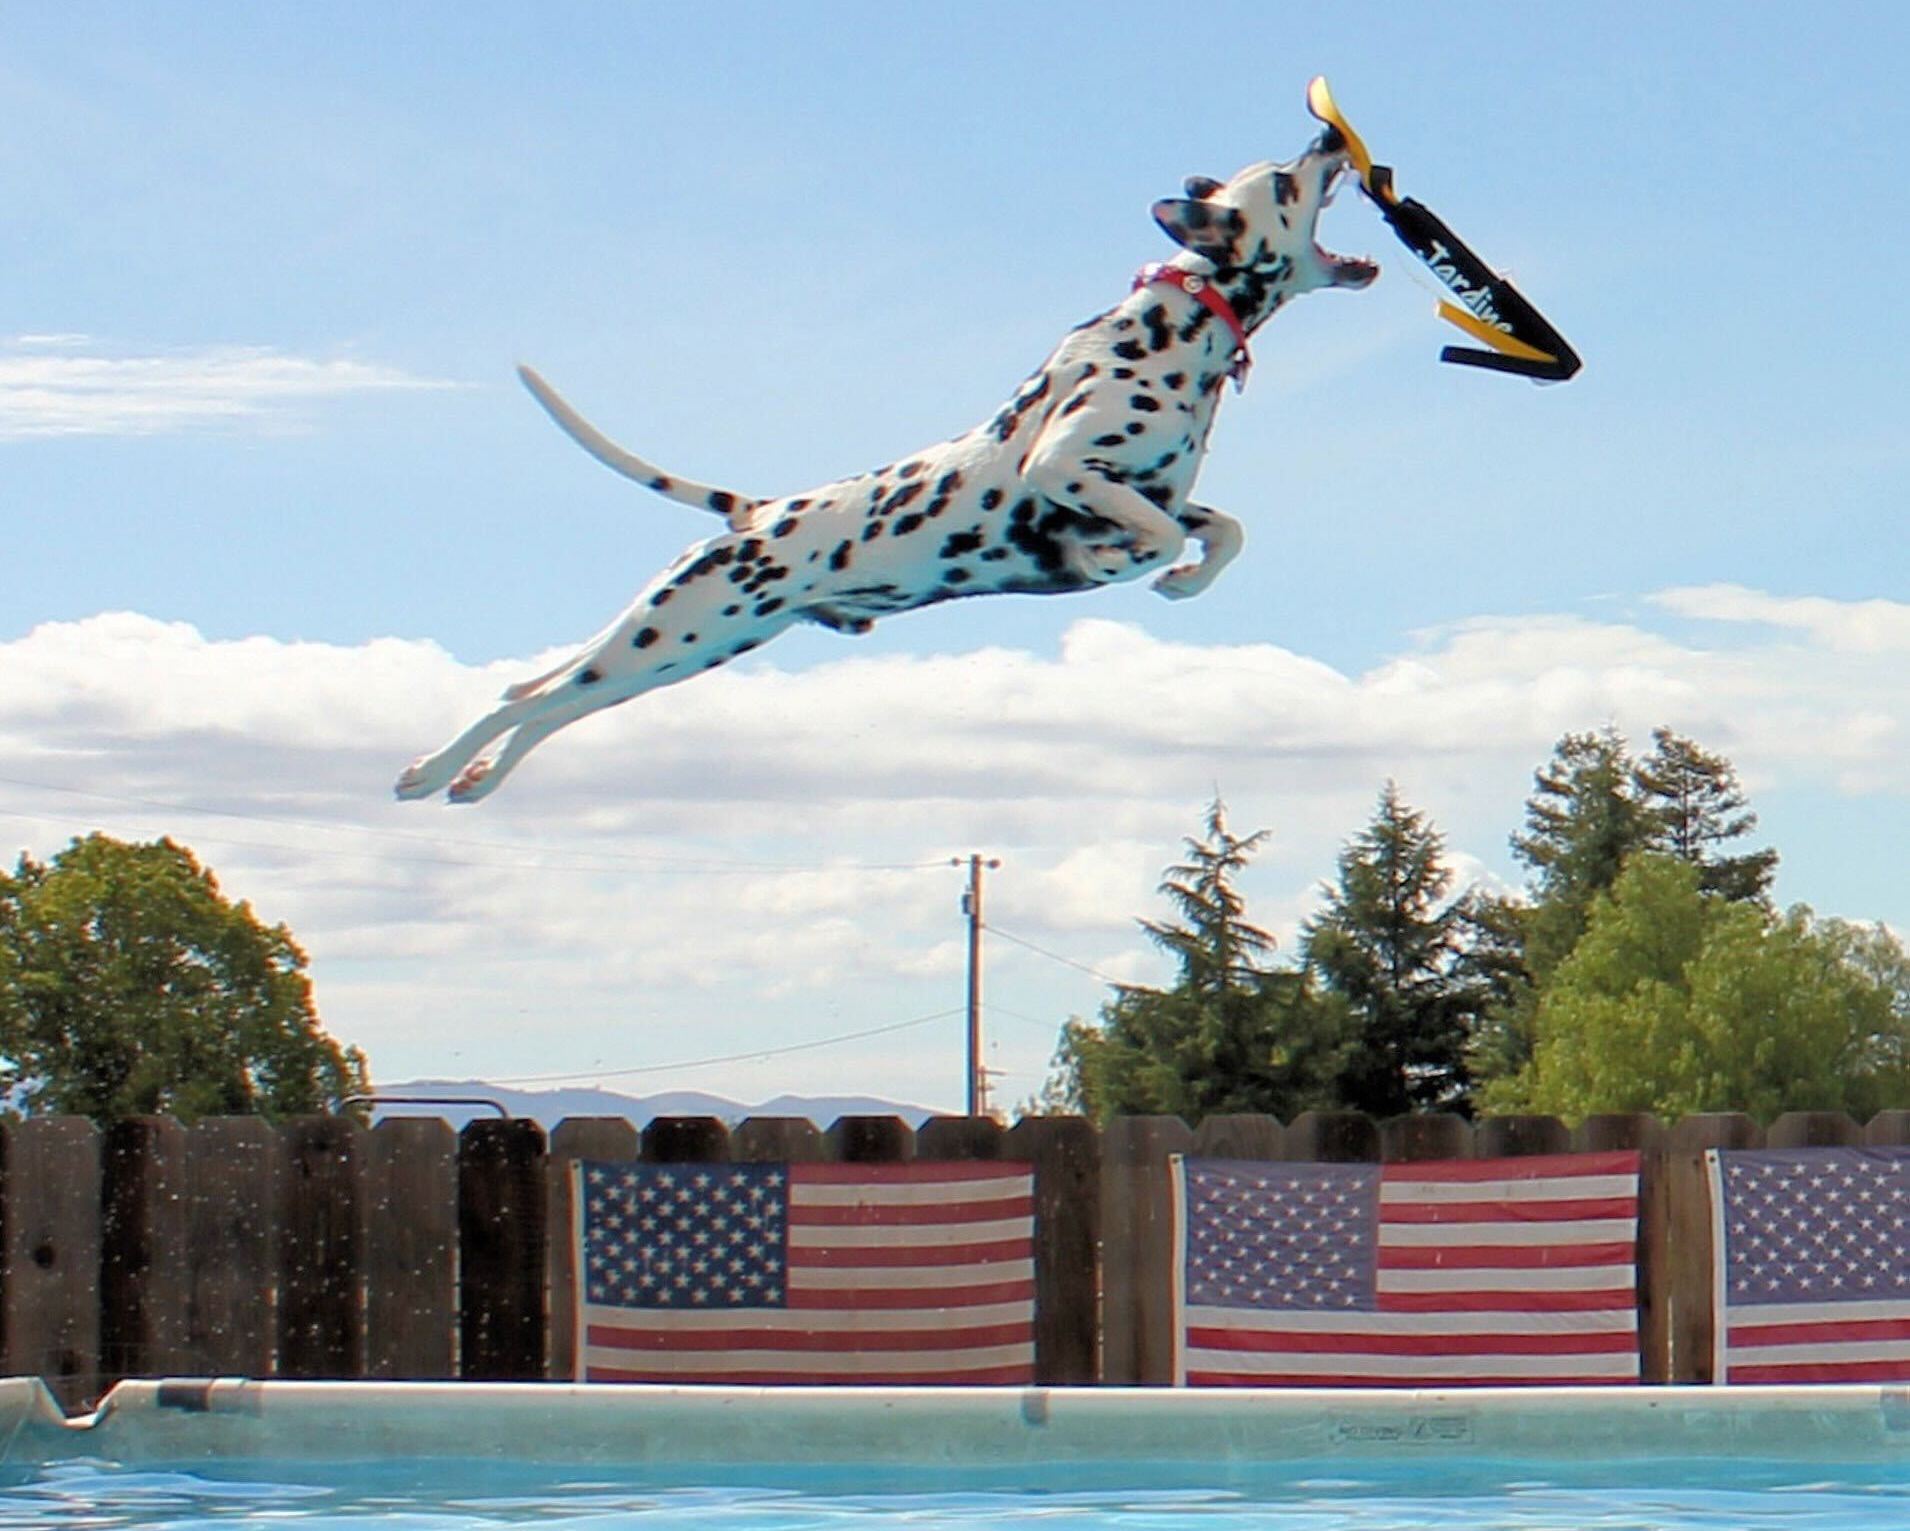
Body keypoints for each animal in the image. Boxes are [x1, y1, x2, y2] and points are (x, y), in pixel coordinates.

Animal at [395, 125, 1375, 805]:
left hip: (679, 652)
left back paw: (475, 778)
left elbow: (1221, 530)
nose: (1331, 138)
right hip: (666, 636)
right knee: (518, 698)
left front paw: (1181, 579)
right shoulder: (1060, 471)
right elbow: (1154, 532)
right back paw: (428, 768)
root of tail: (753, 512)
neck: (1183, 325)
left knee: (540, 697)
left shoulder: (1158, 491)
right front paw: (1129, 561)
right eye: (1285, 178)